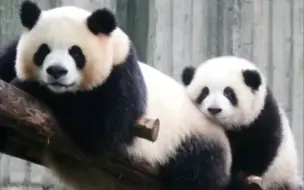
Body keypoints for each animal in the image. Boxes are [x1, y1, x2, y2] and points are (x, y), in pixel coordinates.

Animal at [0, 1, 232, 190]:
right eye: (43, 50)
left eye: (76, 53)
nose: (57, 71)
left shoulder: (121, 78)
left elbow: (100, 128)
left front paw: (28, 86)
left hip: (192, 143)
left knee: (194, 176)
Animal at [182, 56, 302, 190]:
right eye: (204, 92)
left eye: (228, 92)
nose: (214, 109)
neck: (227, 126)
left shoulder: (261, 117)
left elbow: (257, 150)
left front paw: (238, 178)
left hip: (282, 176)